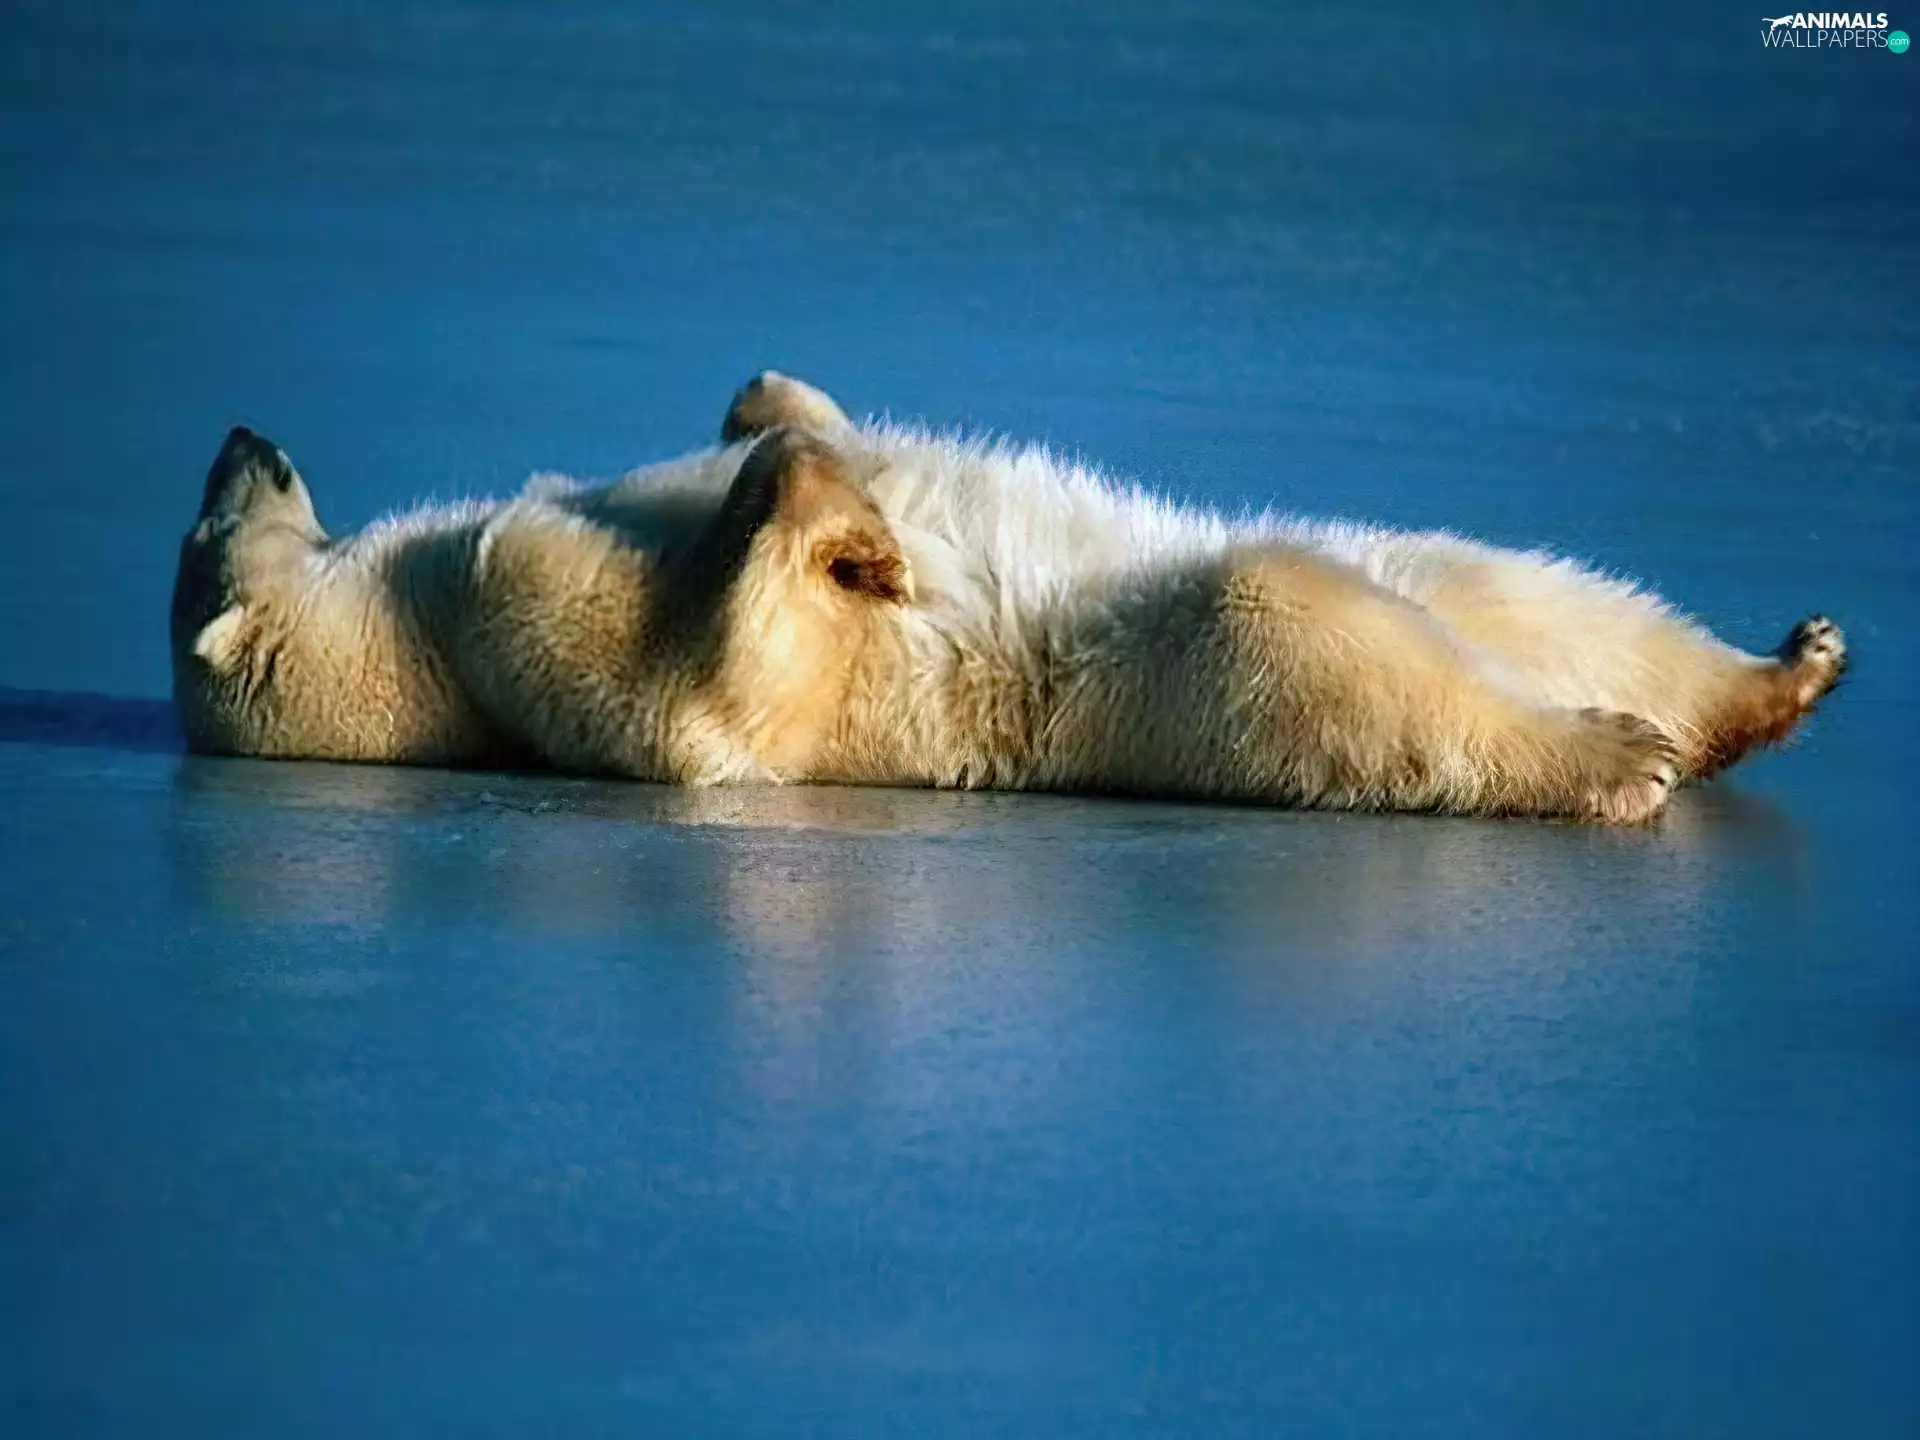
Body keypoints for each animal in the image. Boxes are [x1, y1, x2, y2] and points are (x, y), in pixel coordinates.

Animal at [171, 372, 1847, 823]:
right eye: (208, 520)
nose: (240, 431)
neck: (411, 605)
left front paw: (783, 420)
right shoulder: (504, 611)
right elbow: (710, 694)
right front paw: (859, 537)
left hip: (1442, 575)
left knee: (1509, 583)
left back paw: (1786, 668)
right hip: (1177, 671)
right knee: (1320, 631)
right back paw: (1617, 754)